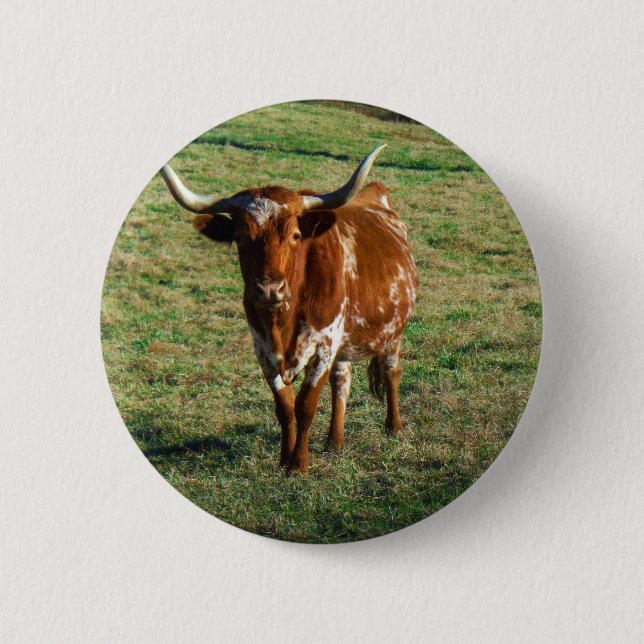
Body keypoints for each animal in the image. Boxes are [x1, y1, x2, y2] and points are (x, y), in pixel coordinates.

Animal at [159, 145, 418, 474]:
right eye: (239, 237)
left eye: (295, 235)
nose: (270, 290)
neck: (283, 322)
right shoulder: (264, 351)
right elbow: (284, 407)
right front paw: (284, 459)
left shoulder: (323, 347)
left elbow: (305, 405)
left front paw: (298, 465)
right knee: (342, 380)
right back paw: (335, 441)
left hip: (392, 332)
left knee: (391, 371)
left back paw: (394, 427)